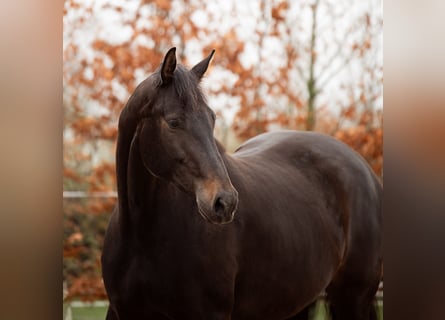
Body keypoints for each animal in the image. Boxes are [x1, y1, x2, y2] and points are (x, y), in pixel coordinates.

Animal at [101, 47, 382, 320]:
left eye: (212, 118)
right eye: (173, 122)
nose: (224, 202)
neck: (141, 235)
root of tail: (366, 171)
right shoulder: (122, 312)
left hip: (352, 299)